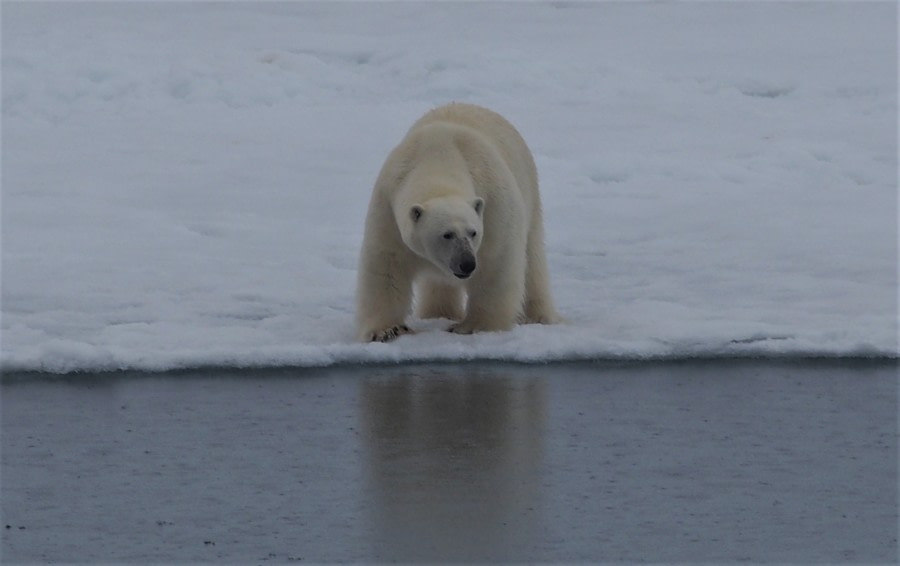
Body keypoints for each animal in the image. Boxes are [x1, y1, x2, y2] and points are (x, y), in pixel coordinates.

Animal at [356, 103, 560, 344]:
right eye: (446, 234)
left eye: (473, 232)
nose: (467, 263)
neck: (439, 159)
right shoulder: (388, 207)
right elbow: (386, 266)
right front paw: (387, 330)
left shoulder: (492, 203)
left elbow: (495, 262)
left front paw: (474, 326)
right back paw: (438, 312)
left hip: (530, 191)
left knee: (532, 260)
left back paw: (538, 315)